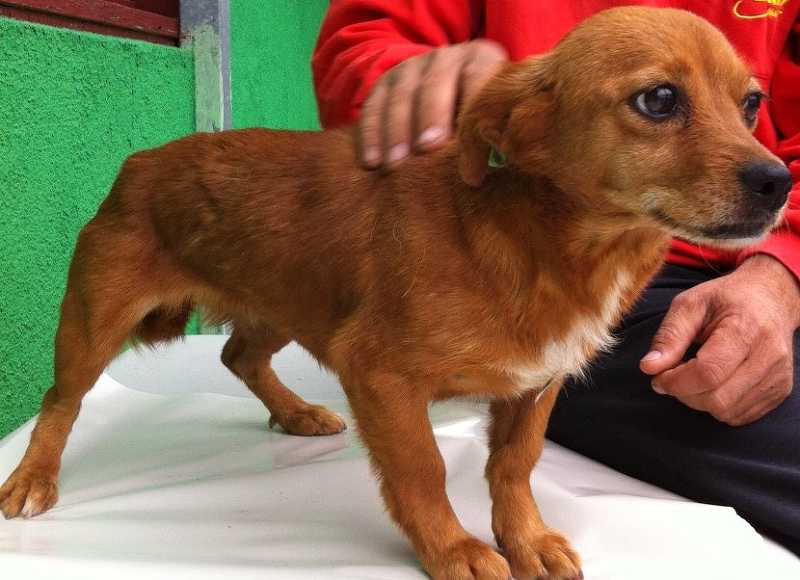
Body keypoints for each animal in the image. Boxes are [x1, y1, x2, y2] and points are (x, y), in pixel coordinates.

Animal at [0, 7, 792, 580]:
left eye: (752, 104)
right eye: (658, 99)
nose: (779, 182)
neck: (527, 238)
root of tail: (140, 162)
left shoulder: (535, 385)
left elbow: (514, 467)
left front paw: (525, 539)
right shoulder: (378, 372)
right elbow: (424, 470)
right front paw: (455, 550)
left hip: (294, 299)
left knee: (236, 355)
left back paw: (294, 412)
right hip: (96, 319)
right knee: (61, 401)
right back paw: (33, 478)